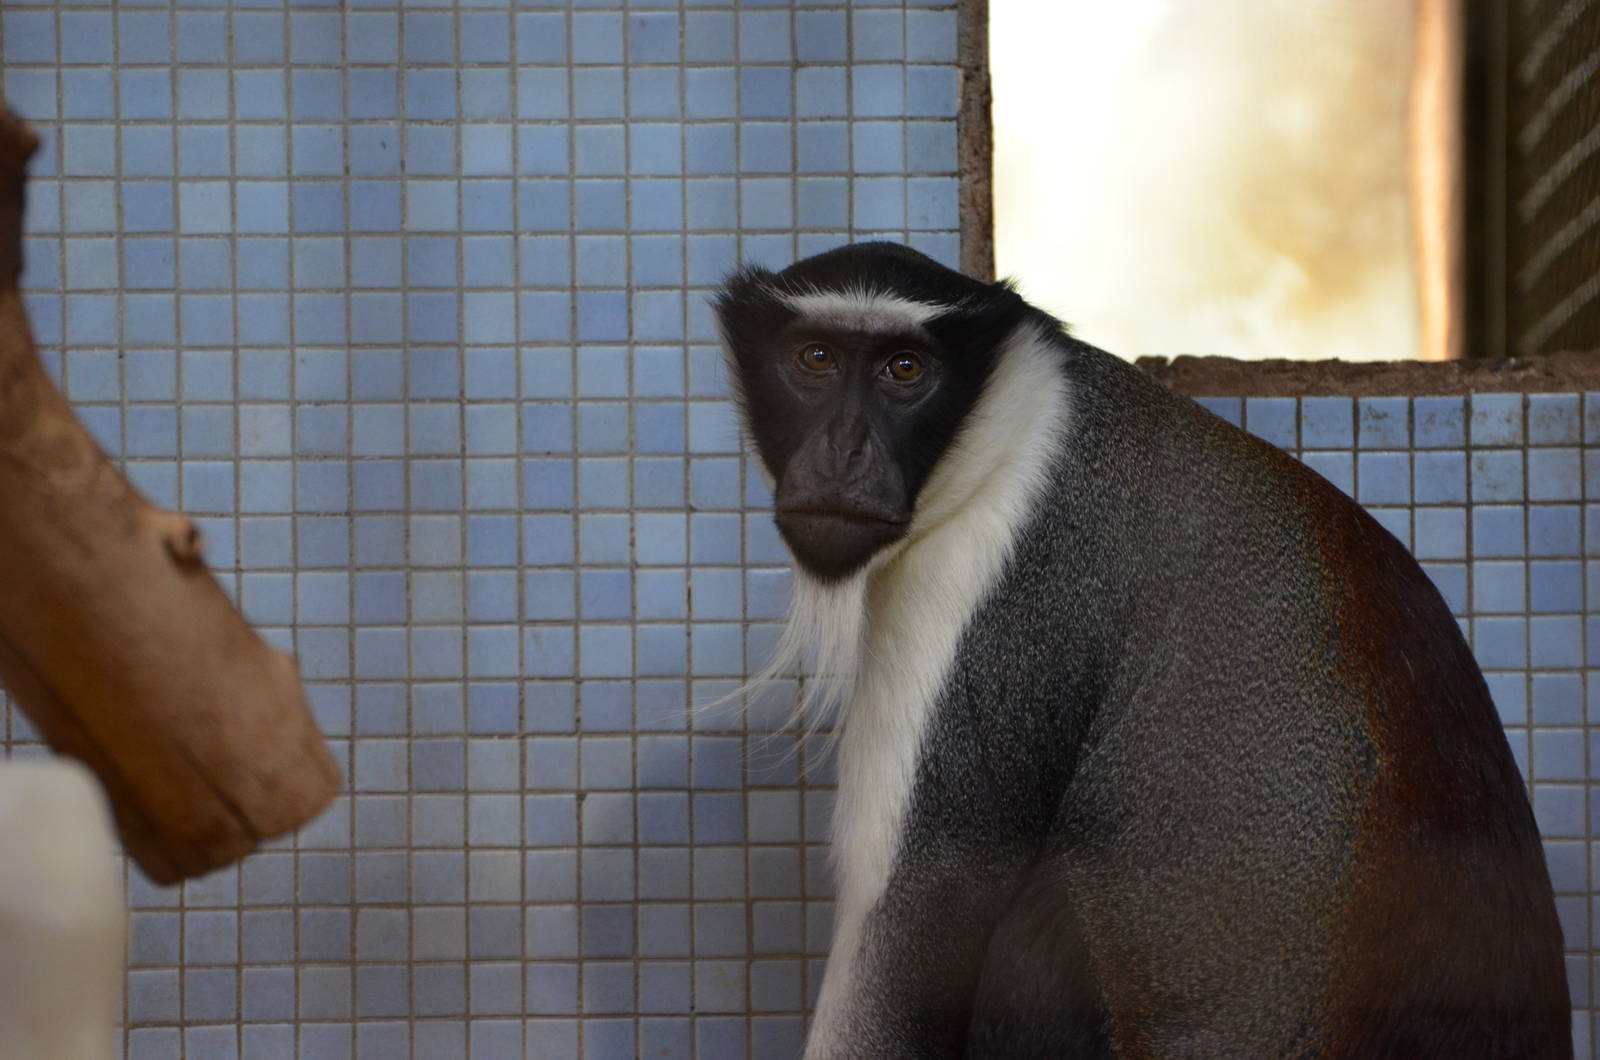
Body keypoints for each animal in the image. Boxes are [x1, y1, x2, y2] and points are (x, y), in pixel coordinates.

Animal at [712, 242, 1571, 1059]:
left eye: (904, 370)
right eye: (816, 358)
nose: (844, 451)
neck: (1007, 427)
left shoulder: (987, 590)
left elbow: (916, 926)